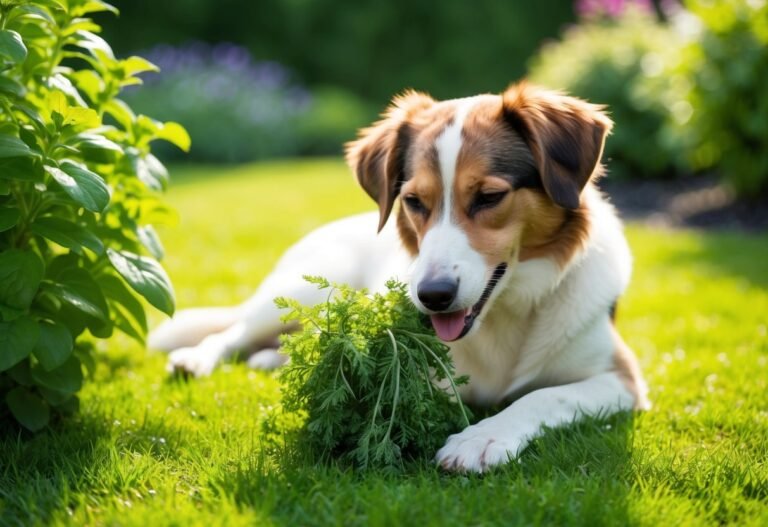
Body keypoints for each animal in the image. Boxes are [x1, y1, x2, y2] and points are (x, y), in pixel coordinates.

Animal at [150, 82, 648, 474]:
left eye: (489, 197)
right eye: (414, 201)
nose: (432, 296)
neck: (504, 314)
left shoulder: (622, 380)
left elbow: (543, 396)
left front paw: (483, 437)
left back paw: (271, 359)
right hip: (302, 290)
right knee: (234, 331)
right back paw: (196, 359)